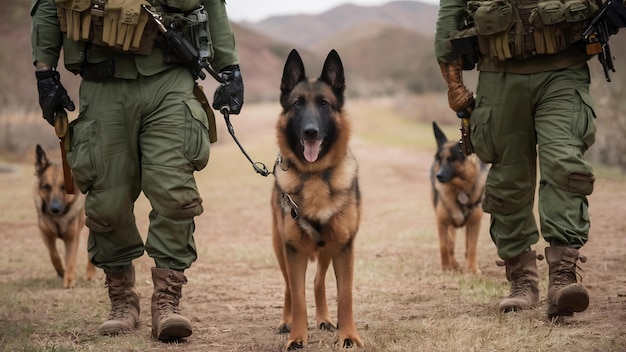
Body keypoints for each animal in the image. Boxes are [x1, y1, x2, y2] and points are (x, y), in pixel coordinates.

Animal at [33, 144, 95, 288]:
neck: (58, 219)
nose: (55, 209)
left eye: (63, 187)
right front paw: (61, 271)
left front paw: (69, 280)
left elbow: (71, 259)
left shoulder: (72, 237)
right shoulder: (45, 234)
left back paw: (90, 274)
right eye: (46, 187)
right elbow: (54, 255)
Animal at [270, 48, 364, 350]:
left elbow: (345, 296)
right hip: (280, 248)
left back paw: (324, 319)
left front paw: (349, 335)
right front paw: (297, 337)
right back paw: (286, 322)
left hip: (327, 251)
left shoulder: (344, 248)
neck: (314, 177)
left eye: (324, 104)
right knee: (290, 287)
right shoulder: (294, 252)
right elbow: (298, 298)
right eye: (297, 104)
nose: (310, 131)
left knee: (317, 282)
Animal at [428, 122, 488, 274]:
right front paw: (445, 268)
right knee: (451, 242)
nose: (438, 176)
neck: (459, 189)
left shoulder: (474, 223)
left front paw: (472, 269)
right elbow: (445, 246)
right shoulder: (442, 222)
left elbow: (472, 247)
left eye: (452, 159)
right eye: (439, 159)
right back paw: (453, 262)